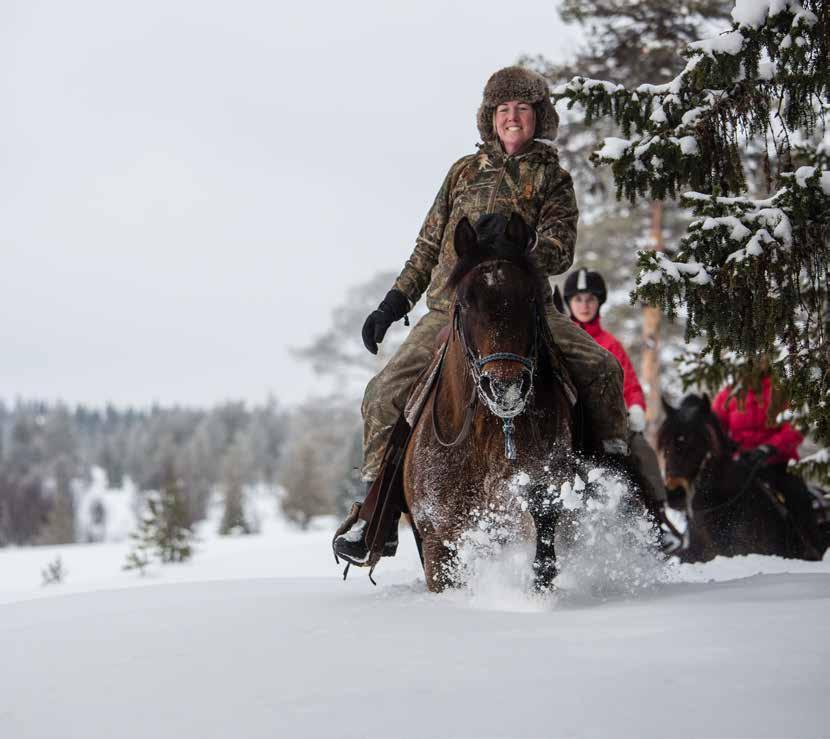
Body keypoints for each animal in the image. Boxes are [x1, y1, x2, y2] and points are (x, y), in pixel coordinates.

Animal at [404, 212, 580, 588]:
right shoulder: (438, 542)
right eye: (465, 301)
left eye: (530, 298)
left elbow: (544, 546)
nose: (506, 386)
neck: (484, 437)